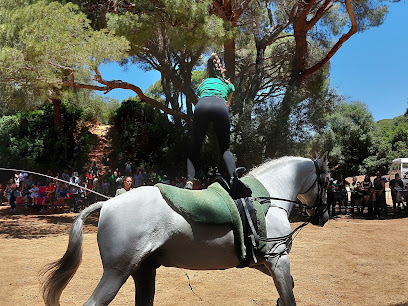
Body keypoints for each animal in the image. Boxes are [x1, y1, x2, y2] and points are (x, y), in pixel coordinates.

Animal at [41, 154, 330, 304]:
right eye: (328, 180)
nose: (325, 215)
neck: (268, 196)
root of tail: (109, 202)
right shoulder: (278, 260)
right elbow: (289, 296)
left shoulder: (261, 261)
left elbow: (288, 288)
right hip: (116, 273)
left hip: (142, 271)